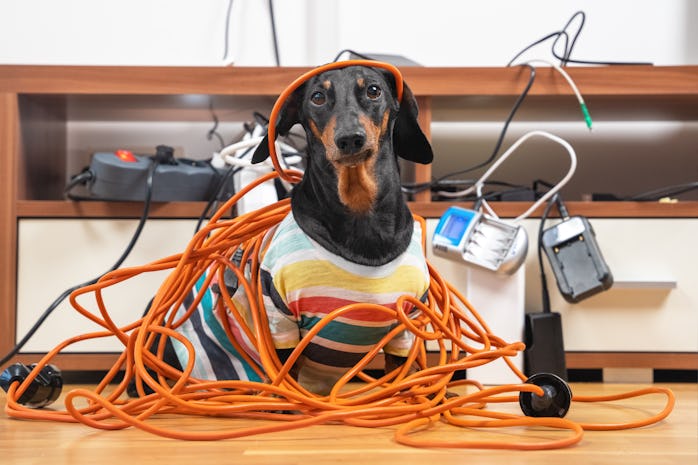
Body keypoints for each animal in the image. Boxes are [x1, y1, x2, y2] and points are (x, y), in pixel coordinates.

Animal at [135, 64, 430, 396]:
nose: (350, 139)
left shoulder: (408, 320)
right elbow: (286, 372)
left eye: (373, 90)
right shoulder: (279, 318)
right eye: (317, 97)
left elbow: (403, 372)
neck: (360, 214)